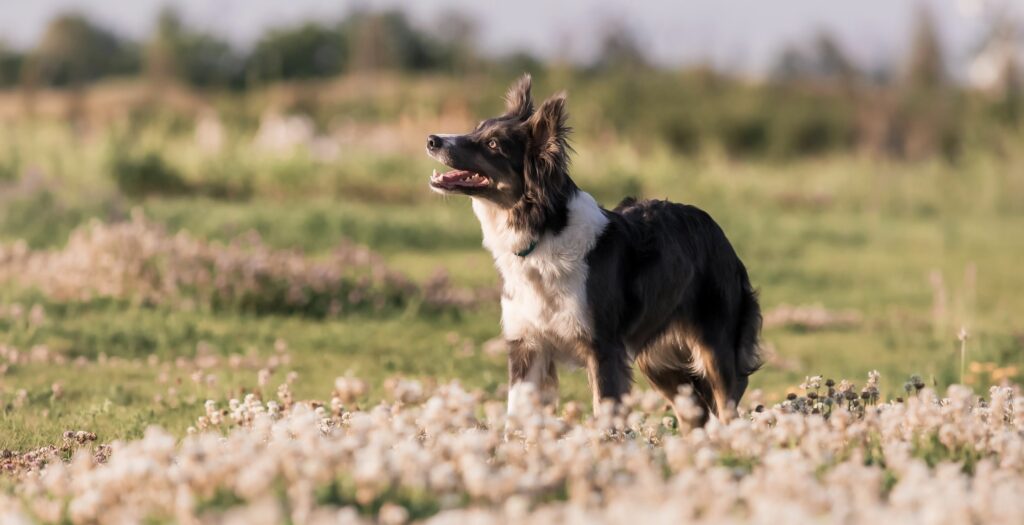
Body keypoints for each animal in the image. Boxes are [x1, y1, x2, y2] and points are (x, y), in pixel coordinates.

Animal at [425, 75, 761, 423]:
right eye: (476, 129)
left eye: (493, 144)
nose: (432, 139)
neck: (541, 233)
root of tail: (717, 231)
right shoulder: (528, 345)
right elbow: (515, 418)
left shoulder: (603, 349)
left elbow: (606, 417)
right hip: (659, 363)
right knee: (694, 416)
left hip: (716, 349)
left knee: (726, 407)